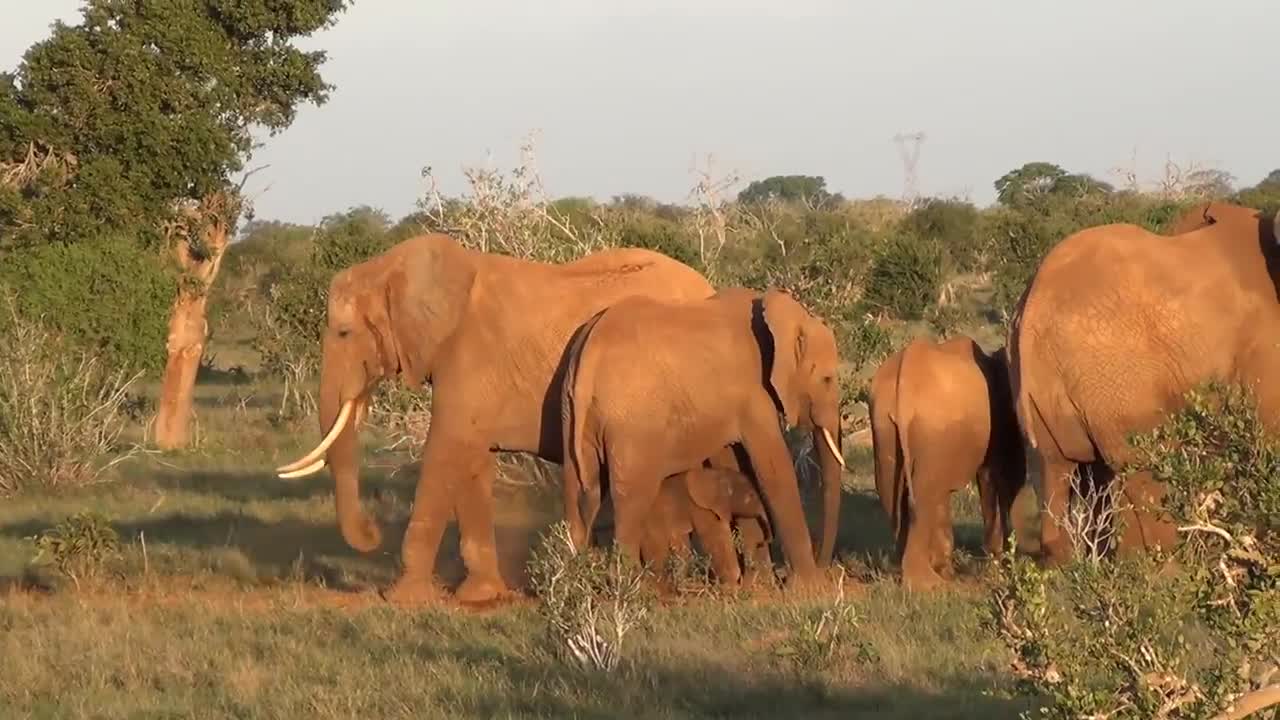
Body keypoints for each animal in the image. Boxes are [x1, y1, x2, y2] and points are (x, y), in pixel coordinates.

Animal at [273, 233, 716, 602]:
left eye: (344, 333)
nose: (372, 534)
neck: (392, 267)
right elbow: (471, 460)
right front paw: (480, 596)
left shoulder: (469, 358)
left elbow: (446, 449)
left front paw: (402, 599)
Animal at [645, 456, 773, 586]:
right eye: (751, 496)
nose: (761, 542)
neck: (715, 475)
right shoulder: (700, 508)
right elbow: (716, 535)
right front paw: (731, 585)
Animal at [865, 335, 1024, 589]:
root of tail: (905, 383)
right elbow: (989, 478)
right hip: (931, 426)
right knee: (924, 493)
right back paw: (927, 583)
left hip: (883, 424)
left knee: (892, 491)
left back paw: (901, 571)